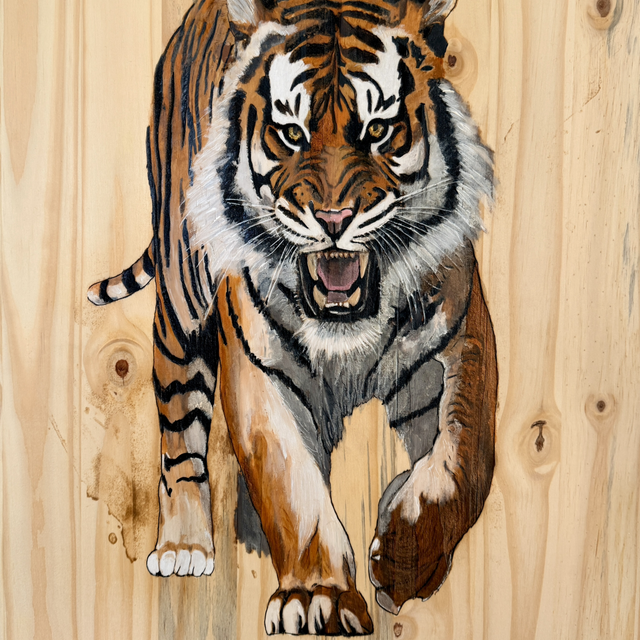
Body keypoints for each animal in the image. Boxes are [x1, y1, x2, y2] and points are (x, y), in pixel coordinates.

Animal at [87, 0, 497, 635]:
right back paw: (185, 546)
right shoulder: (260, 371)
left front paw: (402, 555)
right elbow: (293, 490)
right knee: (180, 434)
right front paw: (316, 597)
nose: (333, 219)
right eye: (291, 134)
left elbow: (461, 465)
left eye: (377, 130)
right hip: (181, 305)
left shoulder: (460, 344)